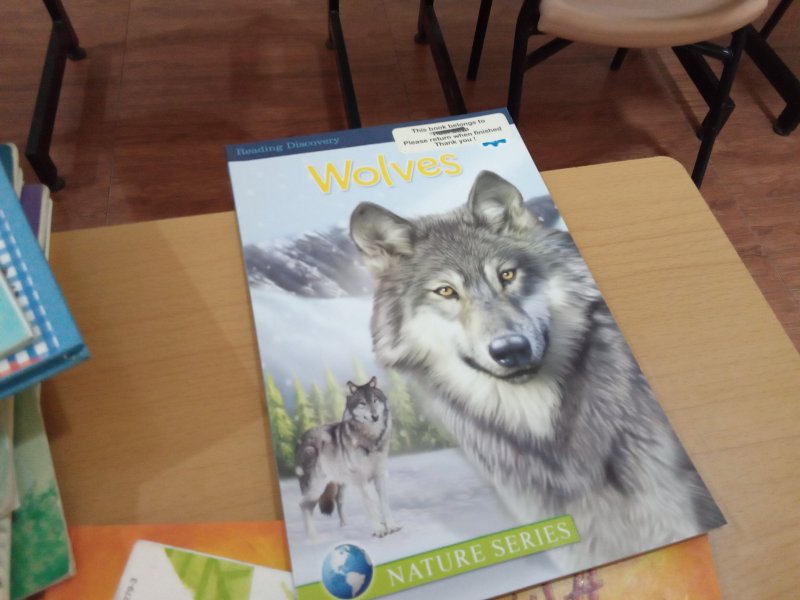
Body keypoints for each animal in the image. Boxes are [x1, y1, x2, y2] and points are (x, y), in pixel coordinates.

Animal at [295, 376, 400, 538]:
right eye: (363, 403)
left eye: (375, 400)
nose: (375, 417)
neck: (371, 438)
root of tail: (302, 439)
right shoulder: (362, 480)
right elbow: (371, 505)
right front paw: (379, 530)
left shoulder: (381, 475)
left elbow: (384, 504)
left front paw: (391, 527)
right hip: (316, 488)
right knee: (304, 506)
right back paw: (312, 538)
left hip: (341, 485)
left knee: (338, 502)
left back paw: (344, 527)